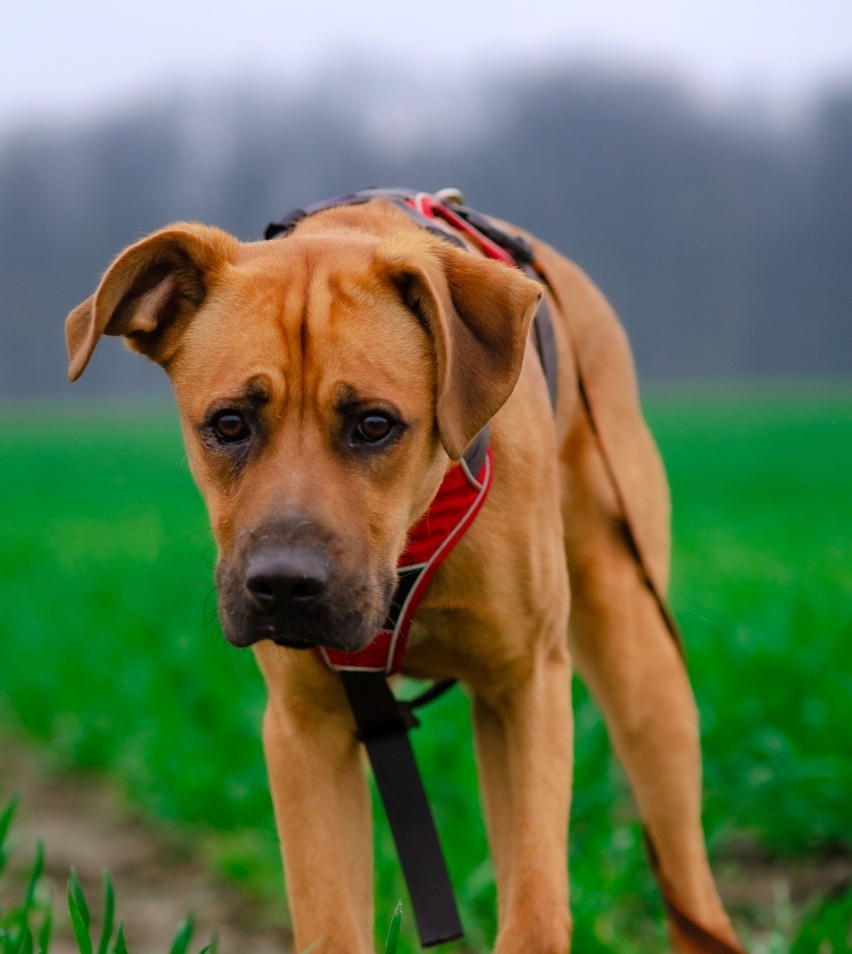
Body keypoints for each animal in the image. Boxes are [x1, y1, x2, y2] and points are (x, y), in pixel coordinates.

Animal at [66, 195, 744, 952]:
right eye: (230, 423)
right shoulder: (304, 728)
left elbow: (536, 912)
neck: (410, 544)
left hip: (644, 673)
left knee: (688, 885)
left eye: (374, 424)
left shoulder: (526, 685)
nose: (282, 586)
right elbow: (329, 923)